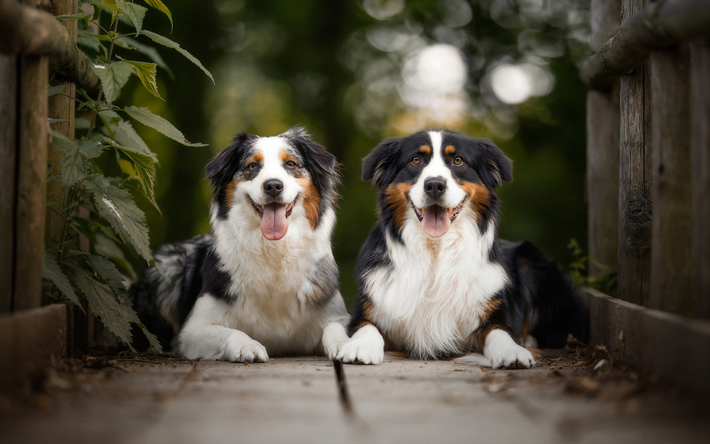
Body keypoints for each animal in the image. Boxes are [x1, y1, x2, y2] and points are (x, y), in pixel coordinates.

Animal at [133, 125, 350, 360]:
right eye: (252, 166)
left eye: (291, 164)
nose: (273, 186)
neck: (274, 251)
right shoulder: (192, 329)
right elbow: (231, 332)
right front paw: (248, 346)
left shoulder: (334, 313)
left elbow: (335, 328)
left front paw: (345, 344)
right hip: (168, 266)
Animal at [328, 128, 588, 368]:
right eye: (416, 160)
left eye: (458, 160)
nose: (434, 185)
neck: (435, 250)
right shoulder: (368, 310)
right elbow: (367, 328)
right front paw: (360, 346)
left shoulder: (495, 313)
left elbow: (501, 333)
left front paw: (512, 351)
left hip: (532, 259)